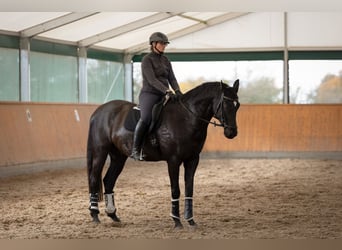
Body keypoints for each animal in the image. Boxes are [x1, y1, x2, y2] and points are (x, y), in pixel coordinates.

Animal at [87, 79, 239, 229]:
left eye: (237, 105)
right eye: (226, 104)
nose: (232, 132)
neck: (187, 118)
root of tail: (98, 112)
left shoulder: (192, 159)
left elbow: (189, 189)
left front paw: (190, 220)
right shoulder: (173, 160)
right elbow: (175, 189)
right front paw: (176, 221)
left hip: (118, 156)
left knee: (109, 181)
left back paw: (113, 215)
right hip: (100, 151)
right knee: (94, 178)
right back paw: (95, 215)